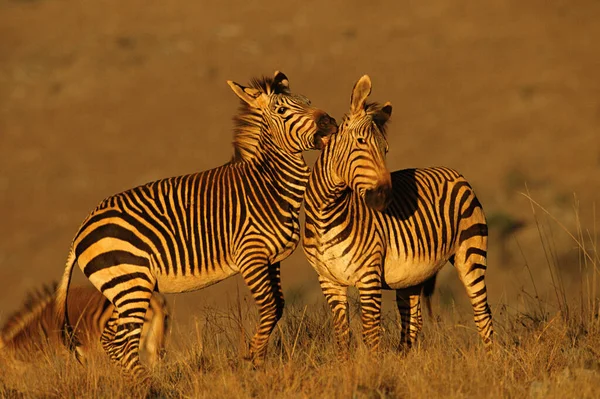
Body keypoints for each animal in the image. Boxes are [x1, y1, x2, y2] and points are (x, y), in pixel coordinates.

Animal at [54, 70, 338, 380]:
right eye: (283, 111)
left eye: (308, 101)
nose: (330, 122)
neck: (268, 184)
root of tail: (81, 230)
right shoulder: (251, 257)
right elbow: (271, 308)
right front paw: (253, 361)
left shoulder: (272, 260)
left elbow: (279, 307)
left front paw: (258, 362)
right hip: (131, 283)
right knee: (122, 342)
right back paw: (149, 385)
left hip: (123, 288)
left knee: (110, 340)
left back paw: (134, 384)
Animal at [302, 76, 494, 358]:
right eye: (361, 142)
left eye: (386, 150)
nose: (383, 199)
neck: (325, 215)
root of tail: (454, 173)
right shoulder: (329, 281)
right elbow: (342, 336)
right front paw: (347, 367)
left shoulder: (368, 276)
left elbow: (371, 334)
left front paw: (373, 368)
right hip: (412, 275)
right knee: (412, 325)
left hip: (471, 253)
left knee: (483, 313)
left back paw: (492, 360)